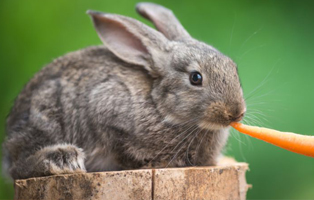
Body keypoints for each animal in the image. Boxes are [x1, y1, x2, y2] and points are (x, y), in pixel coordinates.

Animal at [3, 1, 247, 180]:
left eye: (233, 68)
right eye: (195, 78)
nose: (236, 113)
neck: (160, 107)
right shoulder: (105, 110)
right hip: (46, 115)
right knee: (18, 168)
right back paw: (62, 158)